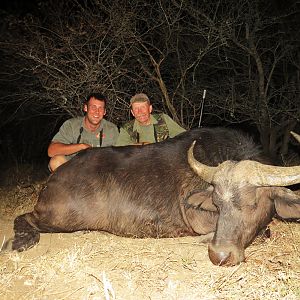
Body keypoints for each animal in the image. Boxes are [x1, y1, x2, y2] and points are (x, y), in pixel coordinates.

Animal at [12, 126, 300, 264]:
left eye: (254, 203)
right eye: (217, 203)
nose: (219, 255)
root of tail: (52, 180)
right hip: (58, 218)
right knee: (23, 217)